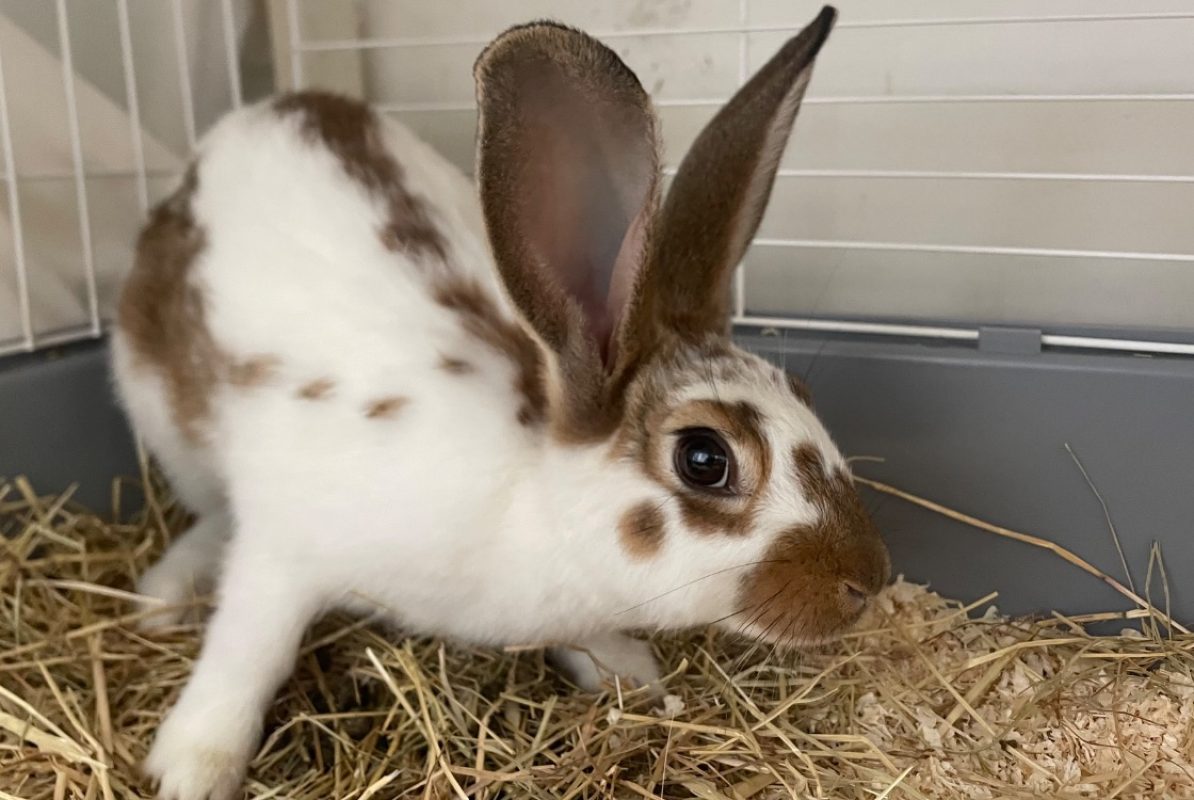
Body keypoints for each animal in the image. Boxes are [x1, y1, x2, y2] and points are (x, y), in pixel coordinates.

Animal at [110, 6, 889, 799]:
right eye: (704, 458)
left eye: (804, 394)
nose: (868, 582)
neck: (533, 502)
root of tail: (263, 108)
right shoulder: (282, 554)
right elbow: (247, 652)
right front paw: (190, 767)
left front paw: (632, 677)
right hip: (163, 416)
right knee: (210, 514)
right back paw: (163, 594)